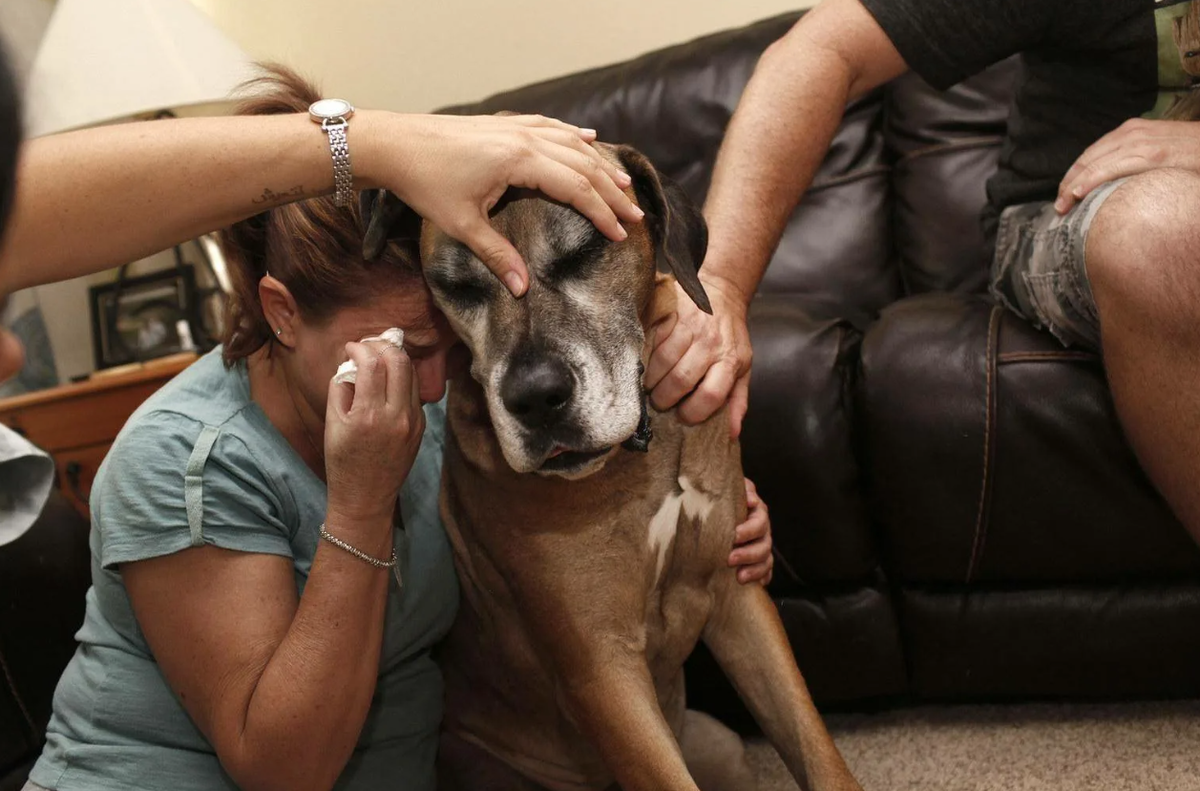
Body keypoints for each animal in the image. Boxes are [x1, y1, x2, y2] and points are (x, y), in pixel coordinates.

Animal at [360, 144, 859, 791]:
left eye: (585, 251)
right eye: (458, 286)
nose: (535, 398)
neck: (641, 460)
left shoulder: (738, 598)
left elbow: (815, 745)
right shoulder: (602, 669)